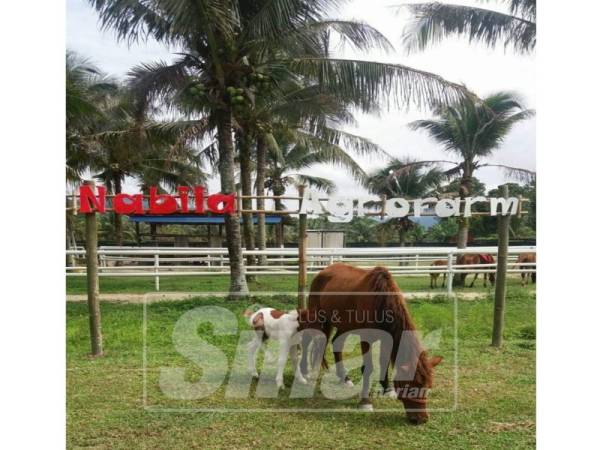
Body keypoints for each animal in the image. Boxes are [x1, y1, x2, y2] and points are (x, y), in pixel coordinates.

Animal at [298, 262, 440, 424]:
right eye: (411, 386)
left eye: (428, 386)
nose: (421, 419)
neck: (381, 300)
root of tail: (324, 271)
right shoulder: (366, 338)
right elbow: (368, 368)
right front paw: (365, 402)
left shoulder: (387, 338)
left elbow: (384, 363)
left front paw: (388, 389)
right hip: (317, 316)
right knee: (306, 339)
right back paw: (303, 372)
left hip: (344, 324)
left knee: (336, 344)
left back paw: (344, 378)